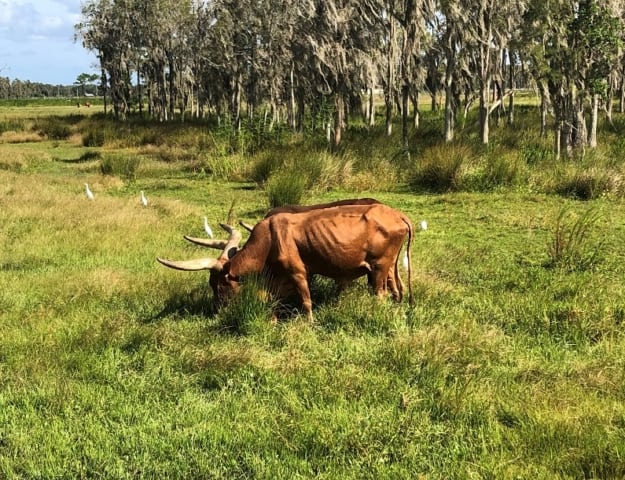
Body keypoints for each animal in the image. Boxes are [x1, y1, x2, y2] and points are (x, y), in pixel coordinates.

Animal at [156, 202, 412, 318]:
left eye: (219, 284)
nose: (217, 310)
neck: (269, 239)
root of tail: (397, 214)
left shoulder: (298, 273)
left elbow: (306, 302)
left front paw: (308, 323)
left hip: (378, 268)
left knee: (380, 295)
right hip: (389, 267)